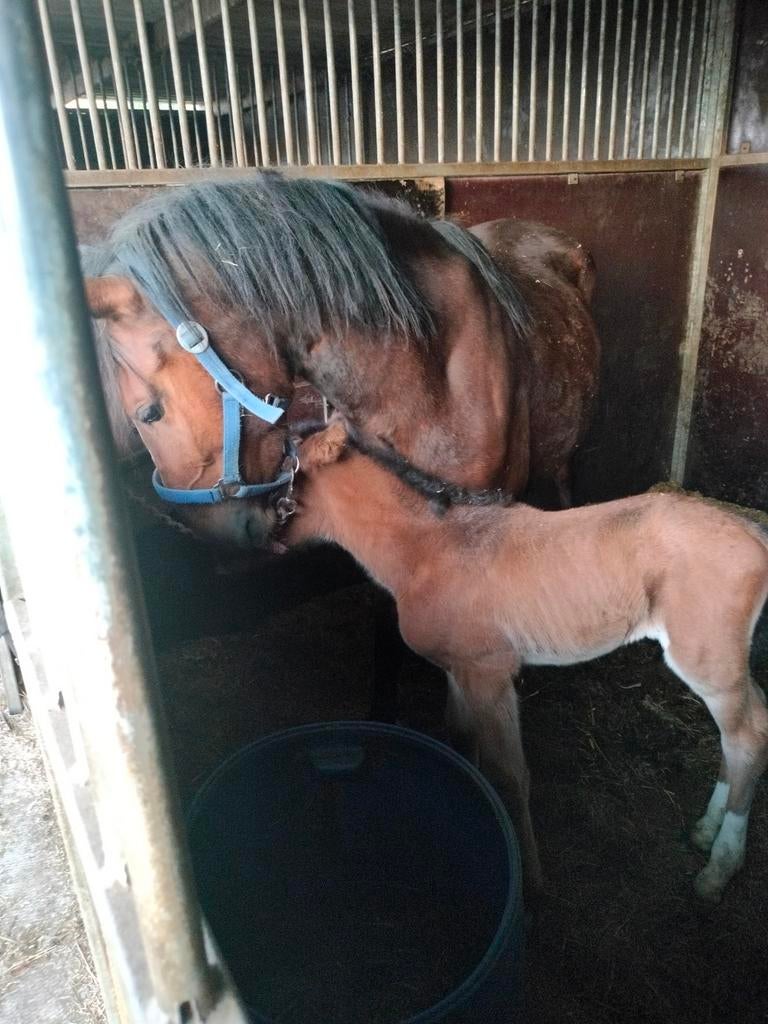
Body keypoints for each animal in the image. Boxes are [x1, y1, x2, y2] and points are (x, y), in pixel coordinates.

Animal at [283, 419, 768, 904]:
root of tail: (753, 533)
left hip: (704, 659)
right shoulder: (460, 672)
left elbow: (510, 775)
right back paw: (705, 829)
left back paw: (717, 870)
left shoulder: (489, 673)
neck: (428, 551)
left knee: (746, 737)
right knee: (749, 720)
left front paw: (531, 883)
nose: (270, 538)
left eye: (286, 472)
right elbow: (462, 740)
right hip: (724, 660)